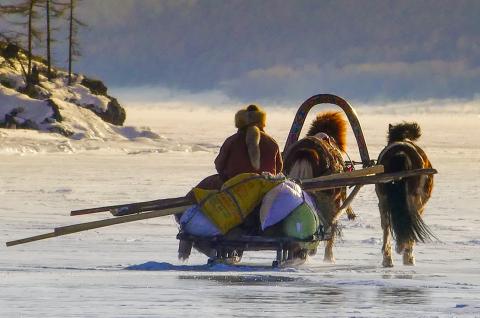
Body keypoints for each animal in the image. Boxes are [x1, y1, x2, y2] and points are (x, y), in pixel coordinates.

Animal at [376, 123, 436, 268]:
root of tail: (401, 153)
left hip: (383, 200)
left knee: (386, 226)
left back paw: (388, 259)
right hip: (415, 200)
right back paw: (406, 255)